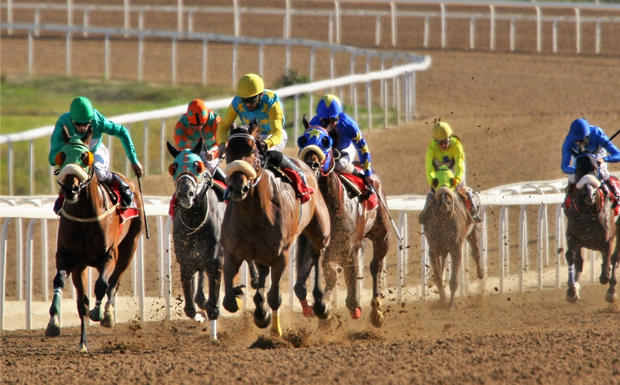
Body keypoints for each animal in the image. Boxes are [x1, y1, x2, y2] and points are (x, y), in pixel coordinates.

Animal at [45, 126, 143, 352]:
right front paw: (53, 322)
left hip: (129, 247)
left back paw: (108, 314)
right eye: (62, 155)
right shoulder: (67, 256)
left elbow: (102, 285)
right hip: (81, 266)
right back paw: (83, 343)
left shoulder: (109, 255)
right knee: (83, 302)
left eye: (84, 156)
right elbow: (60, 281)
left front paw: (99, 313)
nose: (70, 189)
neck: (84, 214)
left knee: (114, 281)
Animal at [220, 121, 332, 336]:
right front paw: (246, 301)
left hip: (320, 230)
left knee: (317, 254)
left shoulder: (282, 255)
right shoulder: (232, 252)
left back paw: (320, 303)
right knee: (263, 273)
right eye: (229, 151)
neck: (253, 214)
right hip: (262, 253)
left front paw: (274, 328)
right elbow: (229, 301)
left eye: (253, 150)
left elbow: (274, 297)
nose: (238, 187)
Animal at [296, 118, 392, 326]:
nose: (310, 163)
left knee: (376, 266)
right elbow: (303, 284)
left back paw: (376, 312)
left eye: (325, 141)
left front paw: (353, 306)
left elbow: (348, 277)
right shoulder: (311, 245)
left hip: (382, 236)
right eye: (302, 139)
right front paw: (319, 308)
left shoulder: (349, 247)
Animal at [422, 164, 484, 306]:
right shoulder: (434, 248)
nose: (445, 202)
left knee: (476, 251)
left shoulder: (456, 247)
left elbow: (454, 281)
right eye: (436, 180)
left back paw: (480, 273)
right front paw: (442, 299)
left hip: (474, 229)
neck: (443, 220)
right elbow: (438, 277)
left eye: (451, 180)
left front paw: (450, 305)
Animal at [564, 153, 616, 304]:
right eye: (578, 168)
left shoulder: (608, 238)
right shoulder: (572, 236)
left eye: (594, 168)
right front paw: (572, 290)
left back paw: (611, 291)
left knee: (615, 258)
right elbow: (572, 257)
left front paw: (606, 274)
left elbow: (607, 264)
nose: (589, 194)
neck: (587, 213)